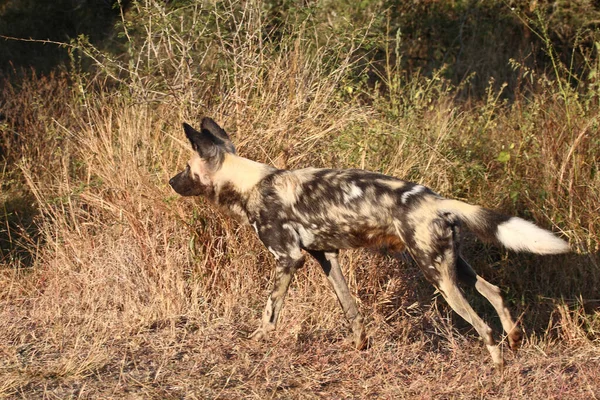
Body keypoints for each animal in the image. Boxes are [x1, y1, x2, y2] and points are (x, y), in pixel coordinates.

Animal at [170, 117, 572, 370]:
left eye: (187, 169)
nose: (171, 182)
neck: (250, 183)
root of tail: (437, 200)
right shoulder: (325, 256)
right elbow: (351, 309)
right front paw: (360, 345)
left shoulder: (288, 258)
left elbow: (270, 311)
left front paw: (256, 341)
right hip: (454, 265)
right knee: (494, 291)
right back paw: (514, 338)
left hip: (437, 276)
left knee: (482, 326)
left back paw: (499, 365)